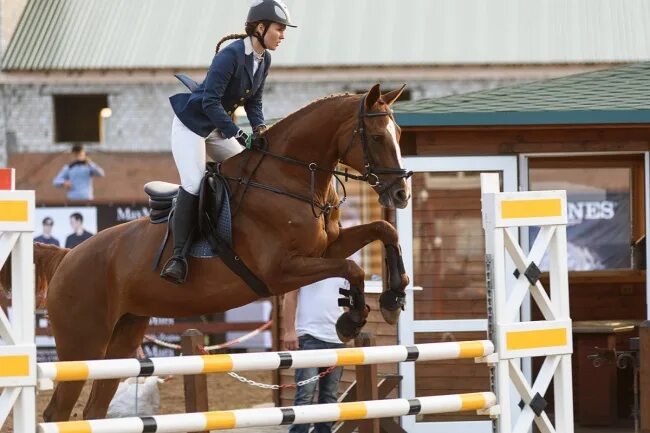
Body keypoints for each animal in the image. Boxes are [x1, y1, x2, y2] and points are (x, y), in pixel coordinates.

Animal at [2, 82, 410, 420]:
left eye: (400, 134)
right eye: (377, 137)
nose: (401, 194)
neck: (288, 179)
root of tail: (67, 258)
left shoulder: (327, 246)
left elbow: (384, 230)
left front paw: (394, 295)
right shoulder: (282, 271)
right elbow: (352, 269)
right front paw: (352, 318)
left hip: (123, 338)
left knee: (93, 410)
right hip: (82, 344)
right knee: (58, 411)